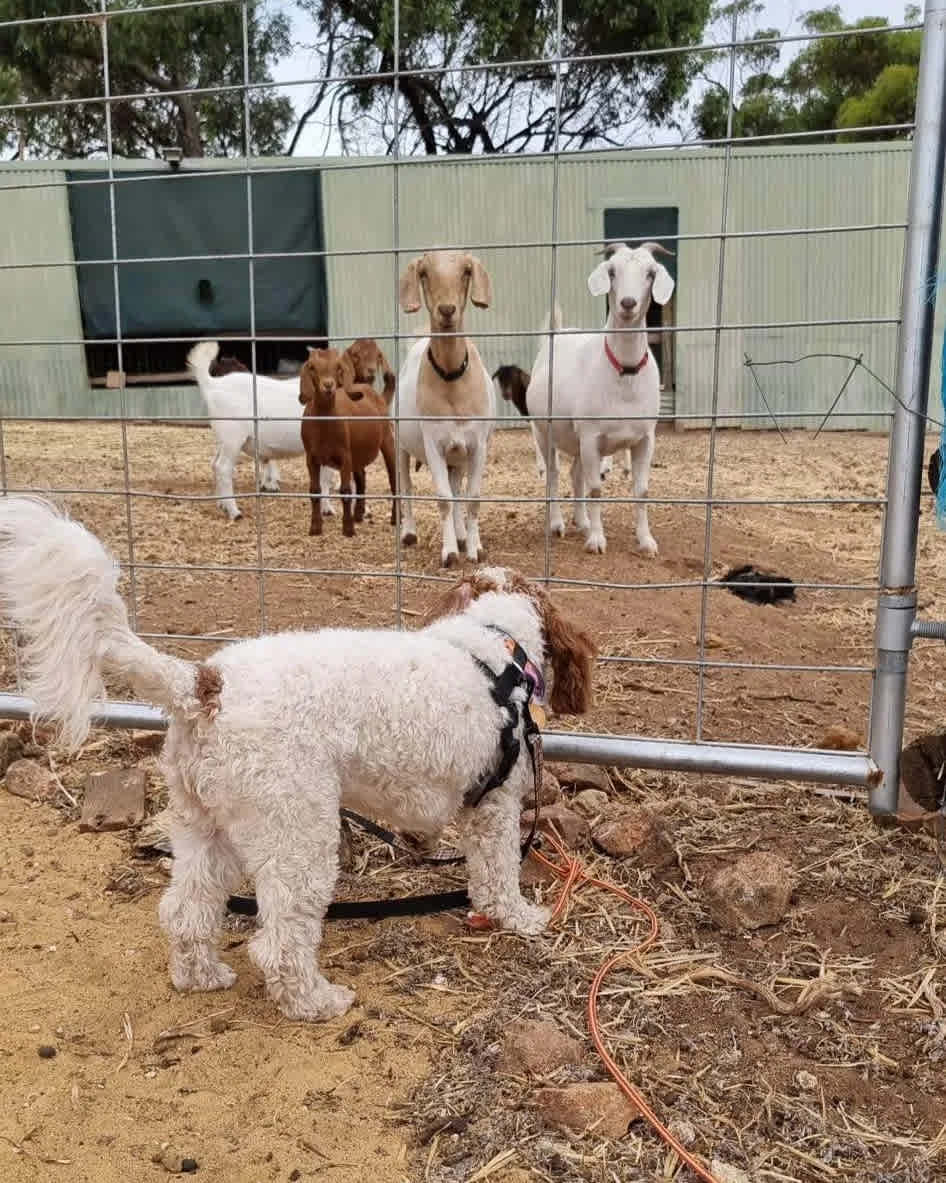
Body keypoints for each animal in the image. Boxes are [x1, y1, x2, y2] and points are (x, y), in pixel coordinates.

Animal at [0, 494, 595, 1022]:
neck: (492, 646)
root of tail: (204, 686)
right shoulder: (495, 807)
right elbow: (497, 875)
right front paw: (520, 918)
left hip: (205, 827)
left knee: (185, 911)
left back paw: (201, 976)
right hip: (296, 830)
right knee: (280, 941)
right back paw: (315, 1002)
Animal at [188, 340, 333, 520]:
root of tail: (212, 384)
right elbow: (327, 479)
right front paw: (327, 510)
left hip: (222, 437)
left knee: (214, 464)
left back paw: (222, 504)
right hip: (232, 436)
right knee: (223, 468)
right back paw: (234, 512)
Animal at [299, 347, 394, 539]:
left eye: (338, 367)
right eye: (312, 367)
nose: (328, 385)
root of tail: (378, 396)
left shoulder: (344, 456)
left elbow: (345, 490)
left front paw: (348, 529)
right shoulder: (311, 458)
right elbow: (314, 490)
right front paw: (315, 527)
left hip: (387, 439)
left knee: (394, 479)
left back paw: (396, 518)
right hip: (357, 453)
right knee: (362, 478)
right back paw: (358, 515)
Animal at [525, 244, 671, 558]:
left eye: (651, 273)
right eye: (611, 271)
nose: (627, 303)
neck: (624, 372)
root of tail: (556, 336)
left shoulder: (645, 438)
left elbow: (641, 491)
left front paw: (647, 541)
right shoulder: (591, 435)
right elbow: (595, 489)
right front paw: (597, 540)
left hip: (577, 439)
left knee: (574, 473)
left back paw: (581, 522)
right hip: (544, 431)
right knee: (554, 474)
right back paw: (557, 525)